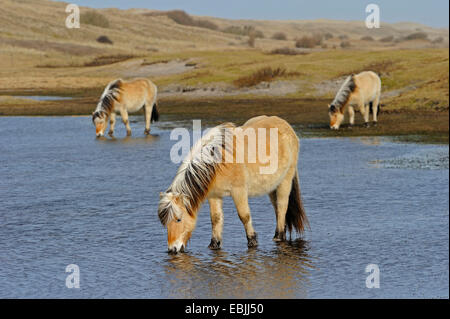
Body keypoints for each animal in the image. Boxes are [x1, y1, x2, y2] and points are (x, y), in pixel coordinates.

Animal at [156, 115, 308, 255]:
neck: (218, 162)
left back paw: (279, 236)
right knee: (277, 208)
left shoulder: (239, 191)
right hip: (272, 187)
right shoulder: (214, 195)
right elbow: (215, 219)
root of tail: (286, 126)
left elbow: (244, 216)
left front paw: (252, 241)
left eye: (178, 219)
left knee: (282, 206)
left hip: (285, 181)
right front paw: (214, 244)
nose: (172, 249)